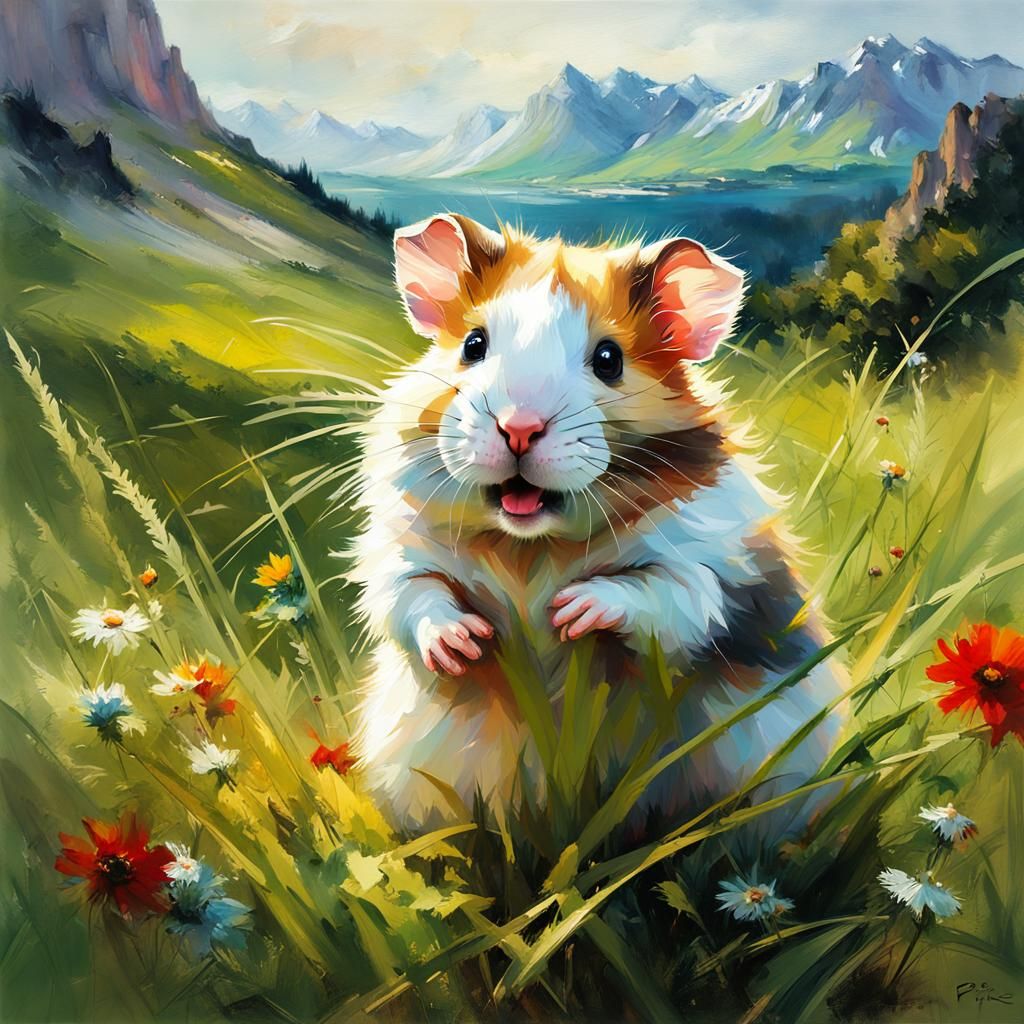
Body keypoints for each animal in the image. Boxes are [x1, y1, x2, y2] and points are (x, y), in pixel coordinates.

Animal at [348, 213, 847, 837]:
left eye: (609, 360)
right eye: (473, 345)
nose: (518, 428)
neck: (531, 547)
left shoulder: (704, 565)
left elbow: (661, 596)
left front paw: (571, 613)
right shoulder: (402, 551)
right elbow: (413, 599)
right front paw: (467, 642)